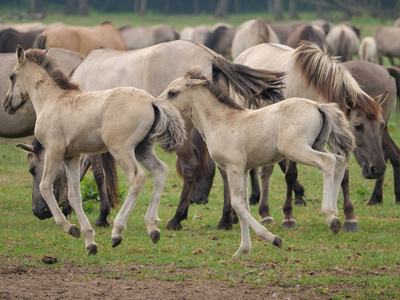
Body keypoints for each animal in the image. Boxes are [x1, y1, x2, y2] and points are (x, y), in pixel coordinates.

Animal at [3, 45, 185, 254]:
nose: (6, 105)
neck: (52, 101)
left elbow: (45, 186)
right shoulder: (71, 157)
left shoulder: (54, 151)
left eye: (11, 76)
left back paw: (117, 232)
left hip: (121, 149)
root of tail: (151, 101)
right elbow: (74, 195)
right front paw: (89, 241)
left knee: (138, 177)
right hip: (142, 149)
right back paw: (152, 227)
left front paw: (70, 228)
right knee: (160, 171)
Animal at [70, 40, 284, 232]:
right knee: (224, 172)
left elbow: (97, 174)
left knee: (190, 166)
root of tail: (212, 57)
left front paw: (101, 215)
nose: (199, 199)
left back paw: (177, 218)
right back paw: (225, 219)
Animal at [158, 65, 354, 255]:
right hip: (316, 144)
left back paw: (331, 217)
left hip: (297, 149)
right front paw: (243, 249)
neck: (221, 121)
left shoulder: (234, 167)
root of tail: (318, 106)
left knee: (328, 162)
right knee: (339, 161)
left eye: (172, 93)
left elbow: (237, 204)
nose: (158, 108)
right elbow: (245, 204)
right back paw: (339, 215)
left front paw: (273, 239)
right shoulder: (244, 170)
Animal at [234, 42, 388, 231]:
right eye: (358, 126)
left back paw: (265, 212)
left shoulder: (336, 140)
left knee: (266, 170)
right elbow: (291, 175)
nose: (378, 168)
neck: (309, 88)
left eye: (382, 125)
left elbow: (344, 175)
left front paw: (350, 218)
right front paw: (288, 217)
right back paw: (265, 213)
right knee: (266, 172)